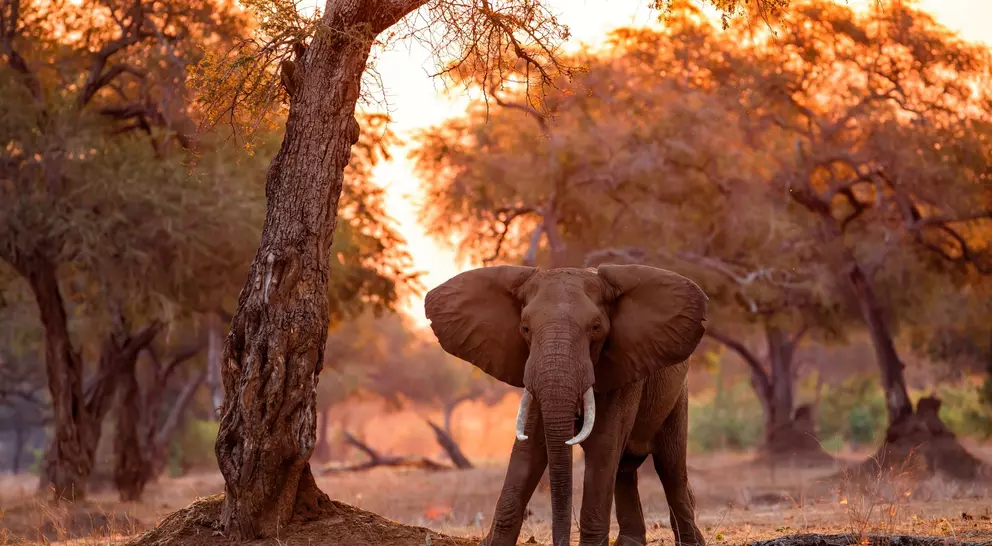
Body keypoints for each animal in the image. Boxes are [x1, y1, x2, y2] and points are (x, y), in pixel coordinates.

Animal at [424, 264, 709, 546]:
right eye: (525, 329)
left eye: (596, 327)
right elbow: (528, 450)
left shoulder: (623, 369)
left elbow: (602, 447)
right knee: (624, 469)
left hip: (677, 396)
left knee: (670, 467)